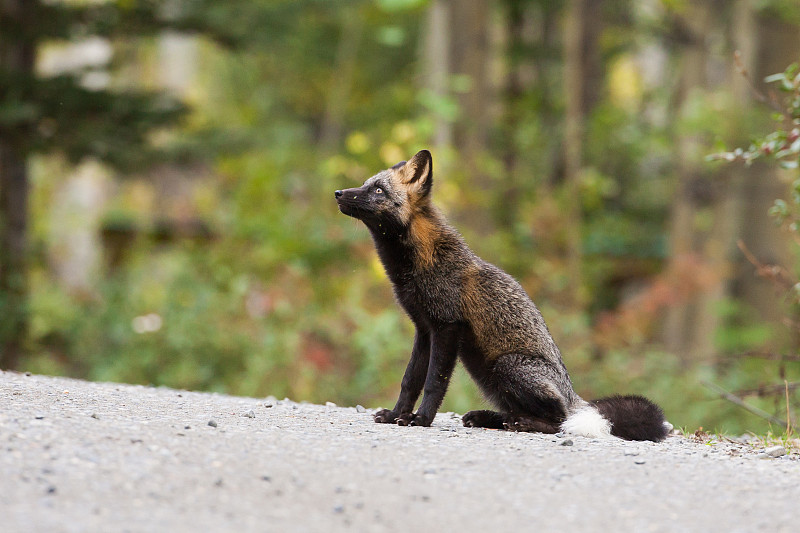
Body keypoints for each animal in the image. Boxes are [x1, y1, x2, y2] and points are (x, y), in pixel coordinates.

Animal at [334, 150, 672, 440]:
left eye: (378, 190)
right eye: (366, 184)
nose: (338, 193)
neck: (422, 263)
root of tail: (573, 396)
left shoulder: (447, 327)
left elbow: (433, 384)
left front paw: (422, 419)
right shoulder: (424, 330)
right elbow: (409, 381)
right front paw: (396, 415)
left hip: (506, 367)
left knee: (560, 420)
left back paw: (523, 424)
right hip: (490, 379)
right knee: (521, 412)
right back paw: (493, 419)